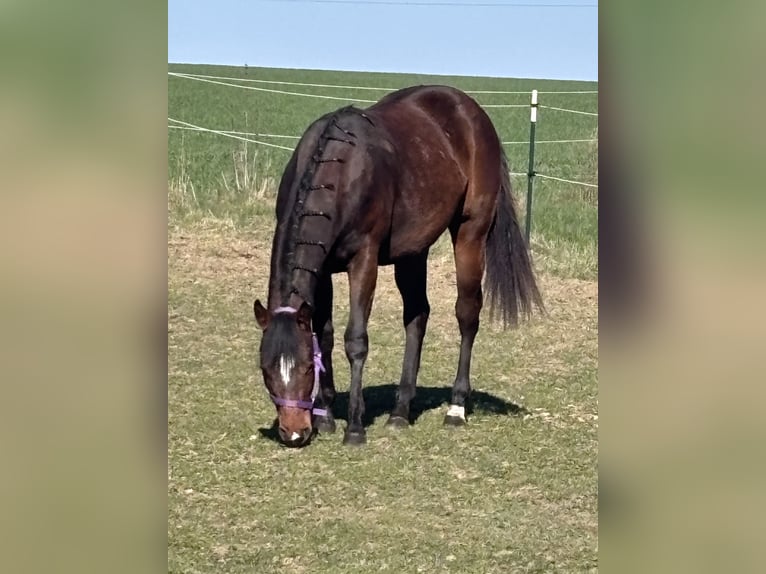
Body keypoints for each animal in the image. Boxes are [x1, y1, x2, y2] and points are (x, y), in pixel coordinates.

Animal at [253, 85, 544, 447]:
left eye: (306, 368)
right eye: (266, 369)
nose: (294, 433)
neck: (339, 171)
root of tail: (471, 110)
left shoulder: (363, 260)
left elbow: (355, 340)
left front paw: (355, 426)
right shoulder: (322, 271)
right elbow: (326, 334)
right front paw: (327, 416)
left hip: (470, 233)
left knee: (467, 313)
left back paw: (456, 407)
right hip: (413, 251)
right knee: (417, 315)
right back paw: (401, 411)